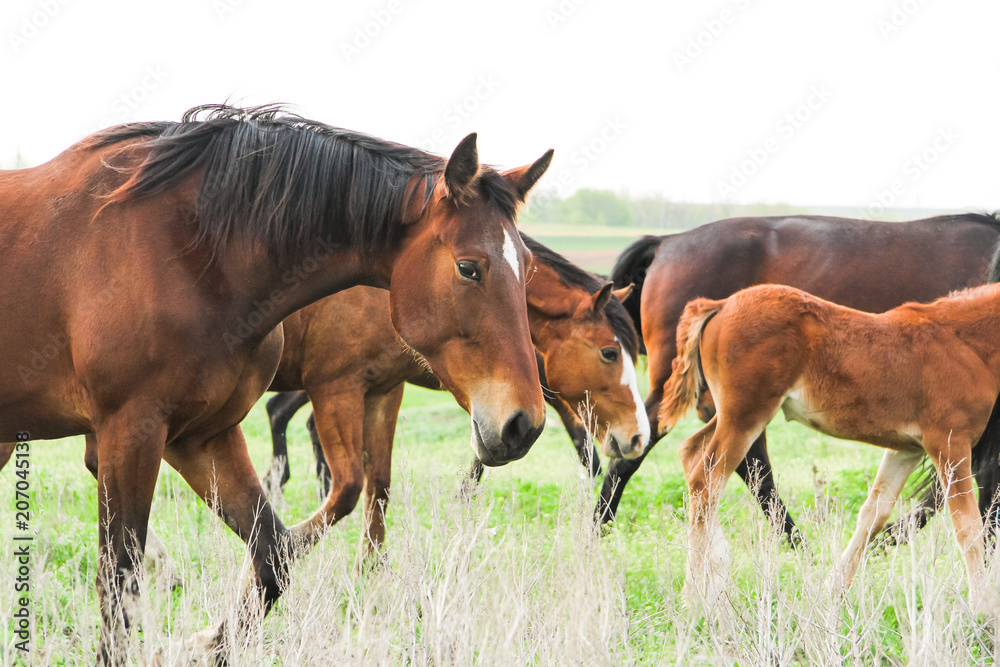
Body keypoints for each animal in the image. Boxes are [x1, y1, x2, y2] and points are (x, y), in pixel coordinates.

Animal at [0, 103, 560, 664]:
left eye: (528, 267)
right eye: (469, 268)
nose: (523, 425)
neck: (191, 254)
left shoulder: (200, 435)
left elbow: (274, 557)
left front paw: (199, 642)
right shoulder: (131, 431)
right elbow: (118, 587)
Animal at [660, 272, 1000, 616]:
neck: (964, 343)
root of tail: (722, 304)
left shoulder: (907, 448)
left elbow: (873, 513)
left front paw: (832, 593)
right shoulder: (949, 442)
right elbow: (969, 526)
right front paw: (984, 609)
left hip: (732, 415)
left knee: (691, 454)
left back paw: (714, 570)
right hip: (745, 417)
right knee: (706, 481)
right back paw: (696, 596)